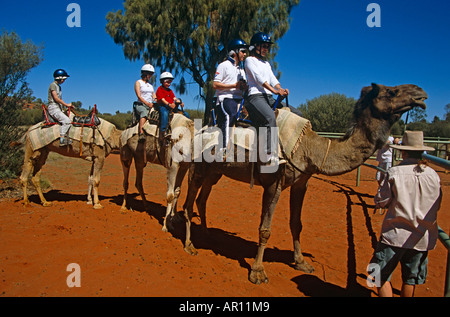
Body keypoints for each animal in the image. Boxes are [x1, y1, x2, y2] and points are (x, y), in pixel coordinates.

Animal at [181, 83, 428, 284]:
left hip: (216, 171)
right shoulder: (273, 184)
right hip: (199, 166)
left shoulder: (301, 183)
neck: (310, 148)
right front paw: (258, 272)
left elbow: (296, 223)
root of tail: (200, 131)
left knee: (202, 199)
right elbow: (265, 229)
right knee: (188, 202)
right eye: (391, 91)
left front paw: (301, 262)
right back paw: (190, 246)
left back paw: (208, 235)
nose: (421, 93)